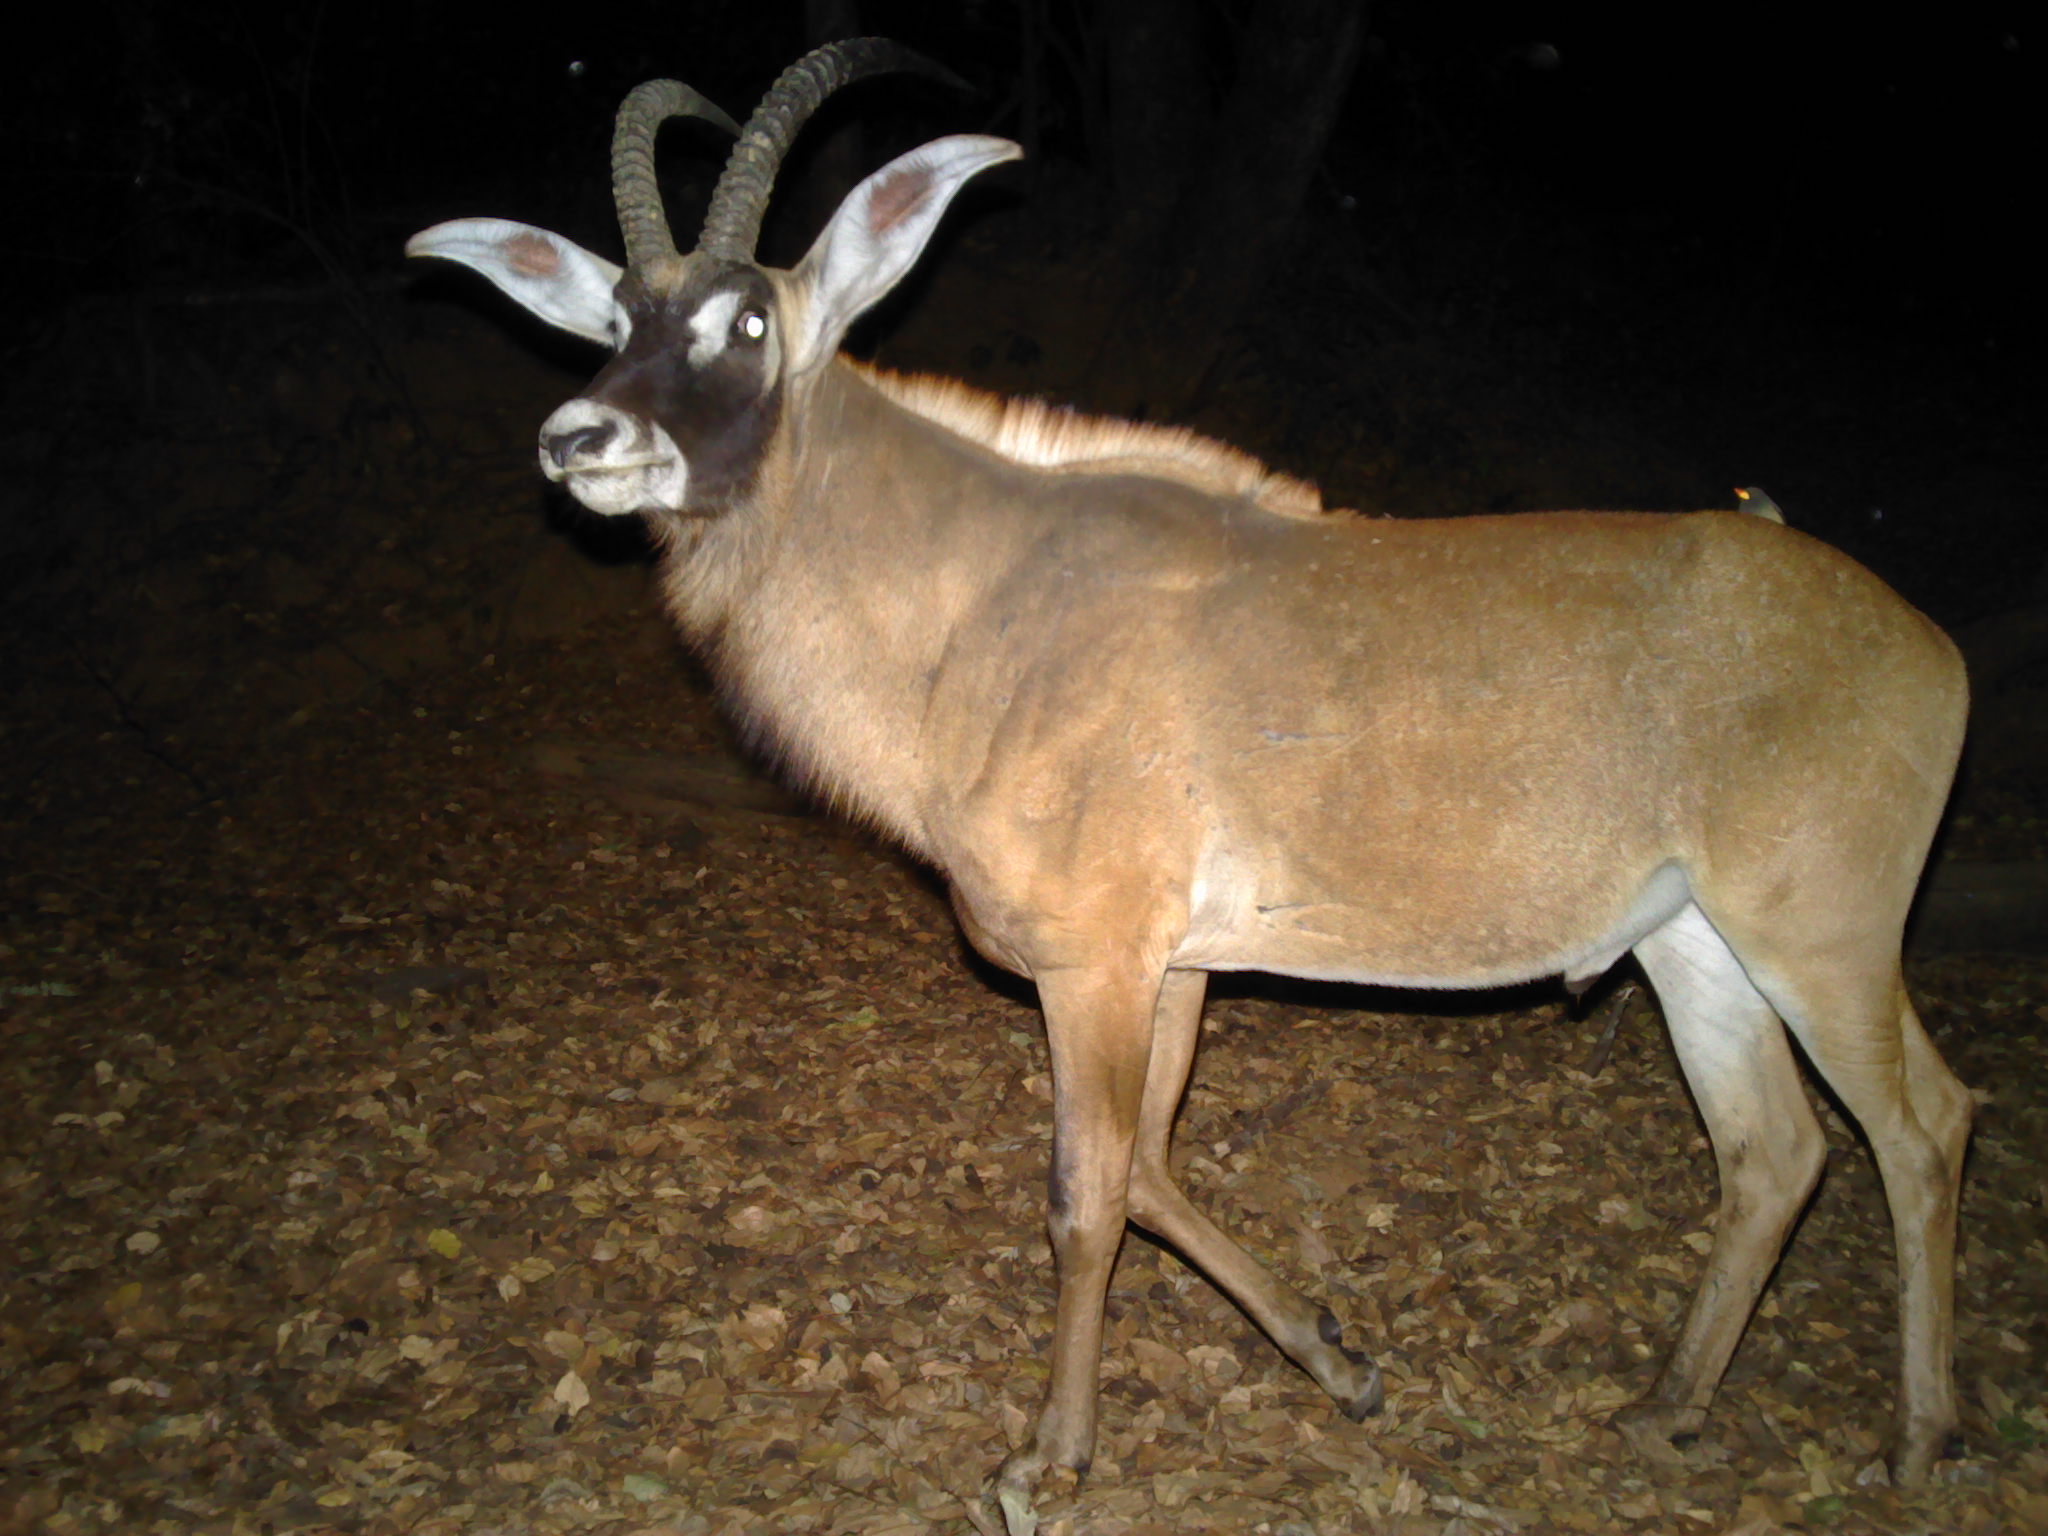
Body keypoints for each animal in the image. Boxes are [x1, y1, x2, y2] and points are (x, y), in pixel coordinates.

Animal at [408, 40, 1972, 1530]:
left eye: (745, 322)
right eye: (617, 321)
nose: (581, 441)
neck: (986, 597)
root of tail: (1929, 648)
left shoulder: (1092, 962)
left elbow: (1085, 1192)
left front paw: (1048, 1466)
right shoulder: (1172, 967)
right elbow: (1154, 1166)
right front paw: (1343, 1364)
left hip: (1821, 933)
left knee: (1921, 1125)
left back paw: (1919, 1440)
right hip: (1691, 944)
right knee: (1773, 1150)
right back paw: (1665, 1411)